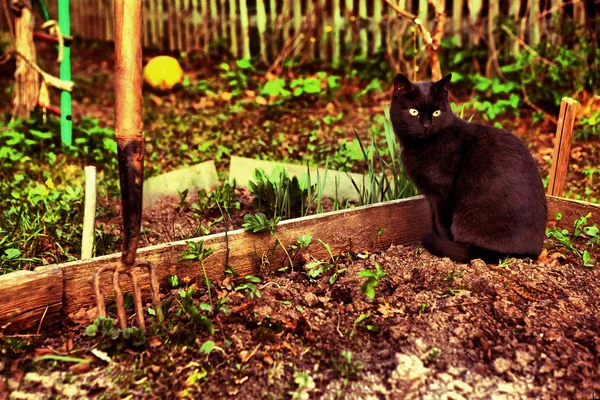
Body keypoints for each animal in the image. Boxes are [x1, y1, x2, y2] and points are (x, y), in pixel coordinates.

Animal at [390, 73, 548, 264]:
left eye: (436, 112)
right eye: (414, 112)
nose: (427, 126)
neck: (422, 146)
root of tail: (533, 251)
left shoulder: (443, 194)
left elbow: (442, 224)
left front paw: (443, 244)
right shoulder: (431, 197)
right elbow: (433, 219)